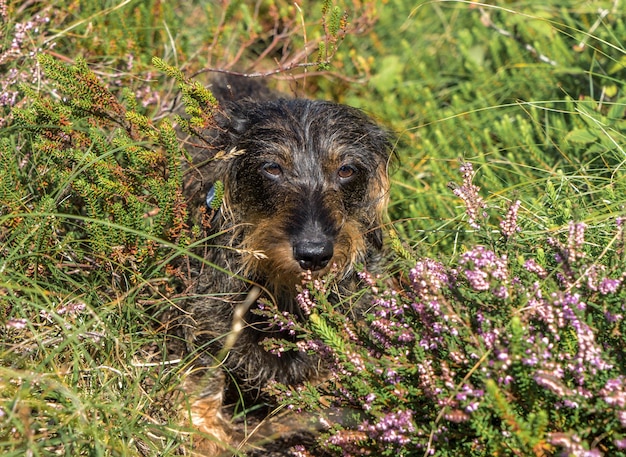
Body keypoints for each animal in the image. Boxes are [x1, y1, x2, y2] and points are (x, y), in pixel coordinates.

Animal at [177, 76, 390, 454]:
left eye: (346, 170)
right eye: (272, 168)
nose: (314, 253)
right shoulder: (207, 314)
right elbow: (206, 370)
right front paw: (204, 432)